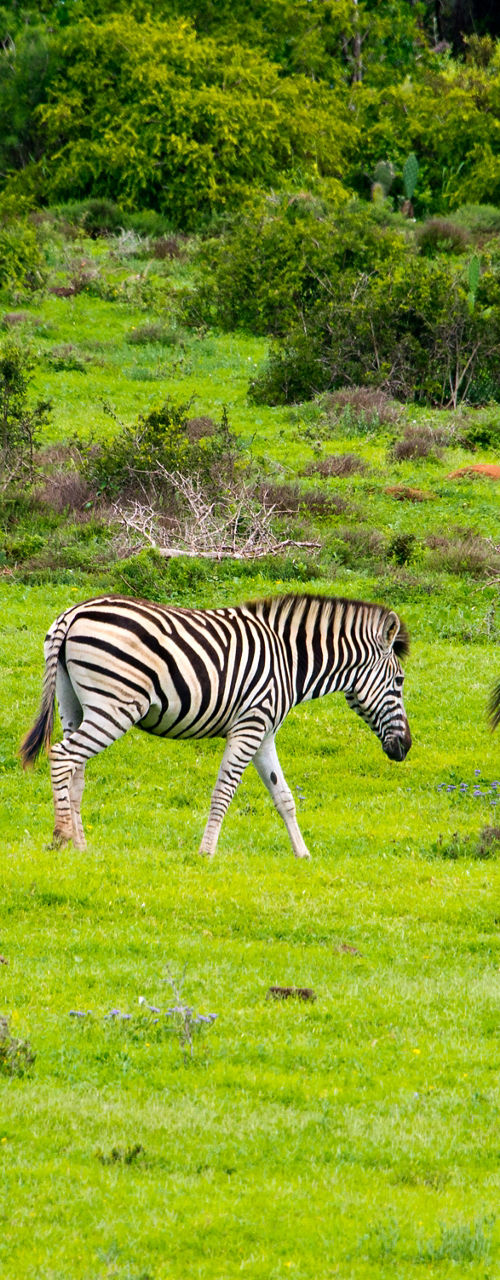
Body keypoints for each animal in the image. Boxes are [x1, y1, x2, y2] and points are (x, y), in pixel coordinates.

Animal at [20, 593, 411, 858]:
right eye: (400, 682)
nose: (405, 747)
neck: (289, 661)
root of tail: (73, 612)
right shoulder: (250, 725)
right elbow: (224, 791)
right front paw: (206, 852)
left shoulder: (264, 732)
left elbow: (283, 796)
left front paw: (303, 855)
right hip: (116, 705)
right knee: (62, 756)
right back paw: (61, 836)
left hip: (74, 705)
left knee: (76, 771)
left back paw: (80, 846)